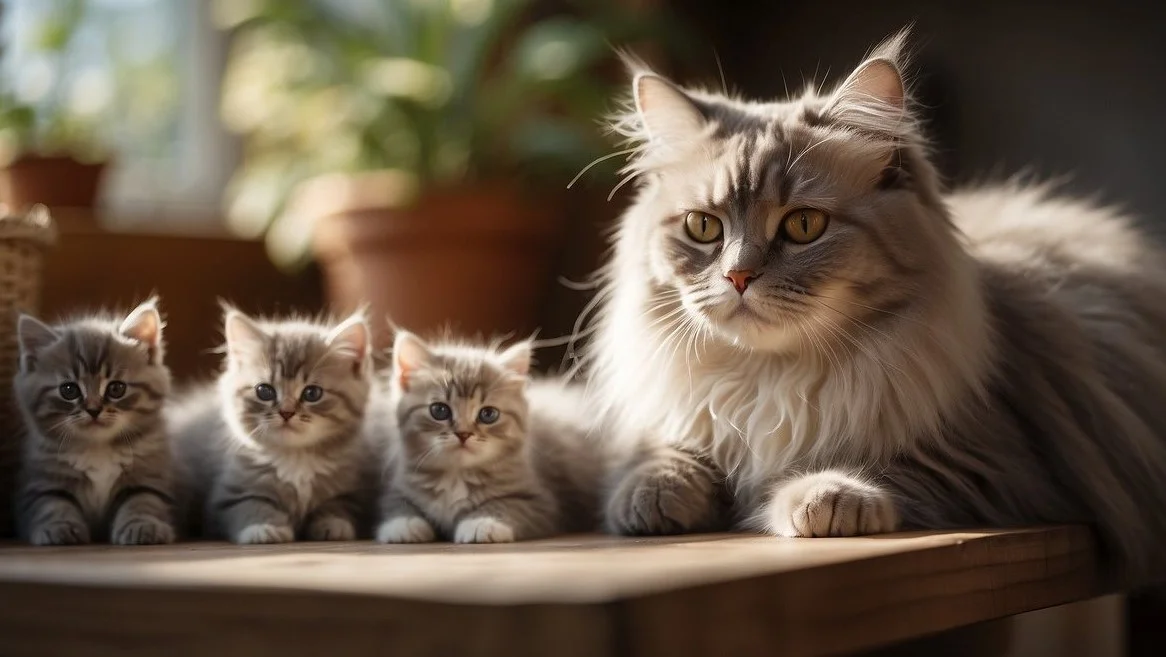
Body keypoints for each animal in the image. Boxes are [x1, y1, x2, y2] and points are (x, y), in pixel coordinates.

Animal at [13, 301, 174, 548]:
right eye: (69, 390)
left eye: (116, 388)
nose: (93, 409)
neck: (98, 449)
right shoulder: (41, 481)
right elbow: (52, 504)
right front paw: (59, 527)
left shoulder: (149, 474)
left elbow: (143, 501)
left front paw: (141, 525)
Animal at [170, 308, 373, 546]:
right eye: (264, 391)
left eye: (312, 393)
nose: (286, 412)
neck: (296, 459)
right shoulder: (227, 496)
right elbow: (252, 505)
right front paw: (263, 528)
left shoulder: (347, 490)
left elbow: (337, 505)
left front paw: (333, 523)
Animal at [375, 333, 601, 546]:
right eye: (439, 410)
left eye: (488, 414)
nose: (463, 434)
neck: (455, 475)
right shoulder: (400, 486)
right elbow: (395, 503)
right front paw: (403, 524)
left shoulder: (543, 504)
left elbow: (507, 504)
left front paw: (483, 522)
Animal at [587, 28, 1166, 578]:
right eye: (703, 227)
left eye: (803, 225)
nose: (737, 275)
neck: (773, 378)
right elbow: (665, 454)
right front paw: (652, 496)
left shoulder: (996, 462)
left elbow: (877, 465)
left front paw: (826, 495)